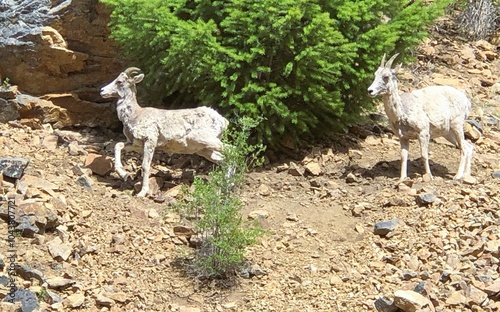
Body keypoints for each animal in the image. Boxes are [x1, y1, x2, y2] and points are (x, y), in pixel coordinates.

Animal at [100, 67, 229, 196]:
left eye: (119, 81)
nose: (101, 91)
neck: (135, 115)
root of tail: (222, 120)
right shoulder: (135, 144)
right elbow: (118, 146)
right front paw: (124, 174)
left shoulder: (150, 142)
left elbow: (145, 166)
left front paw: (142, 193)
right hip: (205, 150)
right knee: (223, 160)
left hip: (207, 140)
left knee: (230, 151)